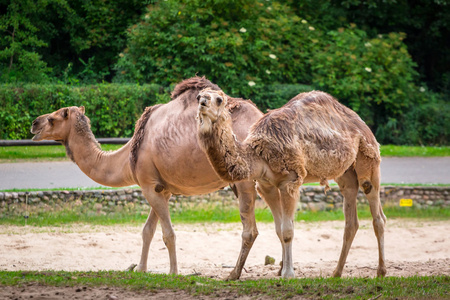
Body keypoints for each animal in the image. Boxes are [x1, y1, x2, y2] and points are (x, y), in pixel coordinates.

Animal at [30, 76, 264, 280]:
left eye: (52, 118)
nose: (34, 123)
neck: (128, 157)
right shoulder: (162, 188)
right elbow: (147, 230)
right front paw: (141, 269)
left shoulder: (148, 186)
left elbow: (168, 234)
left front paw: (173, 273)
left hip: (244, 180)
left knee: (250, 230)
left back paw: (233, 274)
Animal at [196, 88, 386, 278]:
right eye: (199, 96)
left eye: (219, 100)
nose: (203, 102)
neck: (259, 153)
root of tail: (363, 125)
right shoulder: (266, 186)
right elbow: (279, 229)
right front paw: (282, 271)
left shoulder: (290, 181)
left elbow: (287, 231)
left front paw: (288, 274)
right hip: (346, 173)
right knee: (351, 218)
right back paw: (336, 273)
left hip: (369, 159)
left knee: (377, 213)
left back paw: (381, 271)